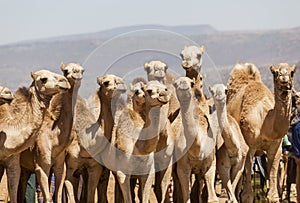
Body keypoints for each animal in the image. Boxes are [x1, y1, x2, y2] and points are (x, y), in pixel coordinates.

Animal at [64, 74, 126, 203]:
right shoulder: (70, 167)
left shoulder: (95, 168)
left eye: (119, 79)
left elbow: (90, 197)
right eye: (106, 82)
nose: (122, 85)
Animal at [227, 62, 296, 202]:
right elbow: (247, 195)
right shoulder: (250, 146)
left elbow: (273, 194)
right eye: (275, 72)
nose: (284, 77)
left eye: (292, 72)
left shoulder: (276, 147)